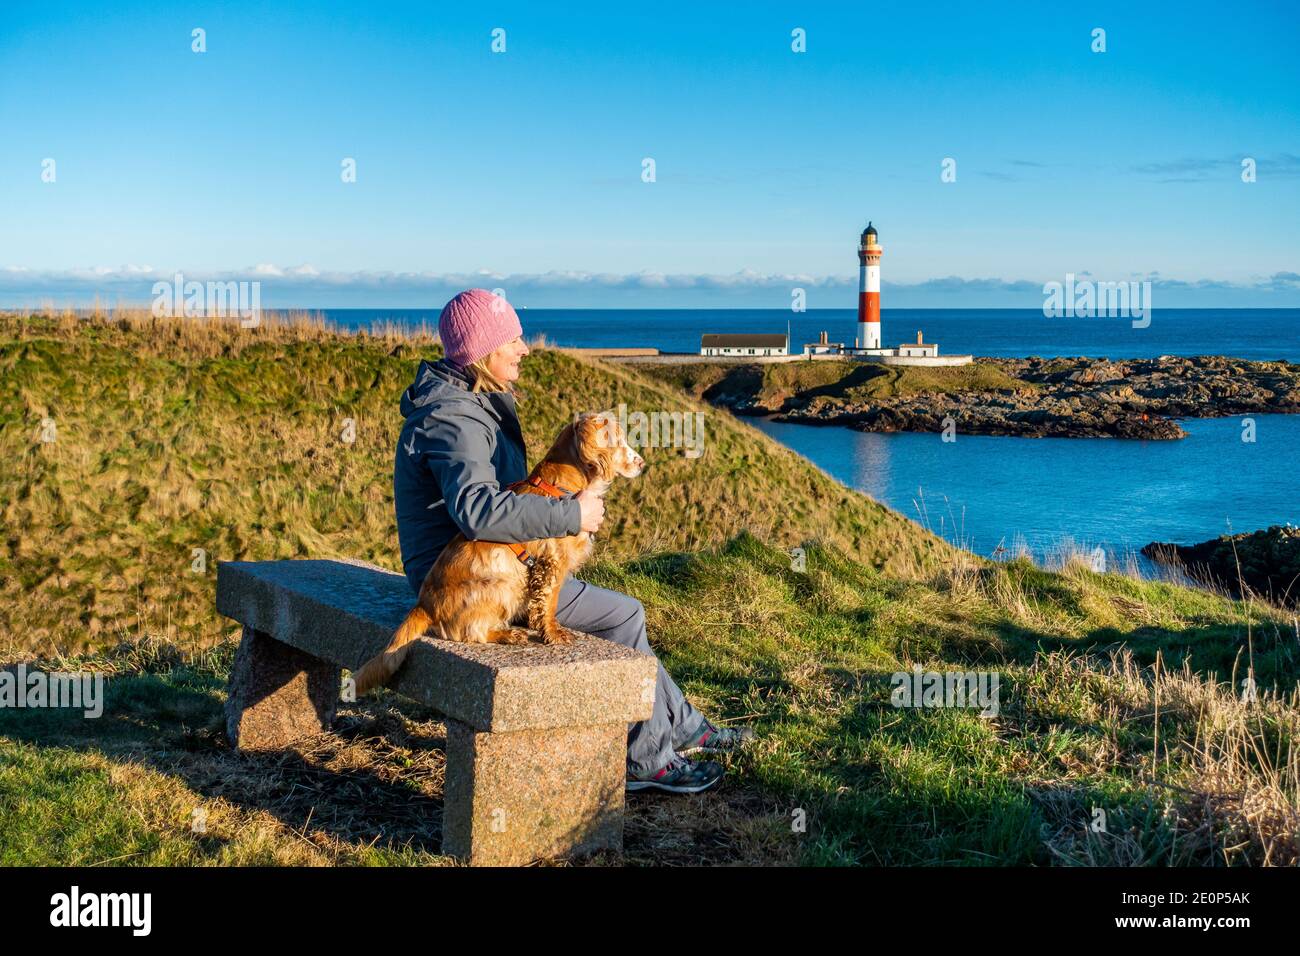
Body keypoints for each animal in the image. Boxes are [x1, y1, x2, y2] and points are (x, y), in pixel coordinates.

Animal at [353, 411, 642, 697]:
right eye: (619, 440)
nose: (642, 463)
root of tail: (424, 605)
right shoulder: (552, 563)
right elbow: (548, 603)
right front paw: (553, 633)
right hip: (505, 584)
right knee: (472, 633)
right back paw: (507, 635)